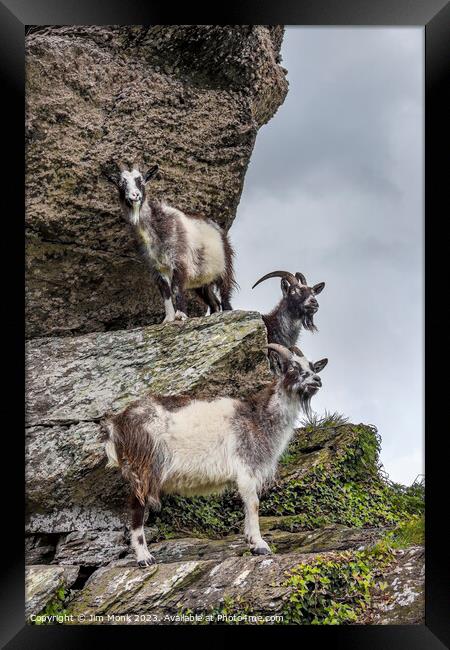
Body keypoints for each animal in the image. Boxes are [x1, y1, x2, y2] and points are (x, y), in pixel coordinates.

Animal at [101, 161, 236, 322]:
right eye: (121, 183)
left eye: (141, 180)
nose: (135, 195)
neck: (156, 228)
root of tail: (218, 229)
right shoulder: (157, 268)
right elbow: (165, 293)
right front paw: (168, 319)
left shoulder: (179, 261)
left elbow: (176, 288)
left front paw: (181, 315)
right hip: (202, 281)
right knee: (214, 302)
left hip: (224, 267)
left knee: (225, 293)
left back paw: (228, 311)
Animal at [102, 344, 326, 560]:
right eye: (292, 367)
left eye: (312, 367)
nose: (317, 380)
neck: (258, 418)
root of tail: (117, 423)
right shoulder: (246, 468)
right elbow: (253, 503)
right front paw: (260, 545)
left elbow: (247, 505)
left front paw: (249, 540)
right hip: (143, 467)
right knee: (137, 507)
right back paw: (144, 557)